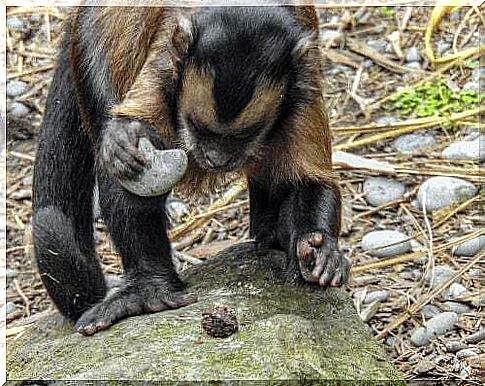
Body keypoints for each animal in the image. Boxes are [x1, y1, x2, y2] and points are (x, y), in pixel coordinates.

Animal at [31, 3, 348, 334]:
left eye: (244, 135)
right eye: (197, 126)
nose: (215, 158)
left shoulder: (302, 85)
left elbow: (307, 181)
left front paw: (319, 247)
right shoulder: (167, 62)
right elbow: (133, 152)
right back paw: (148, 290)